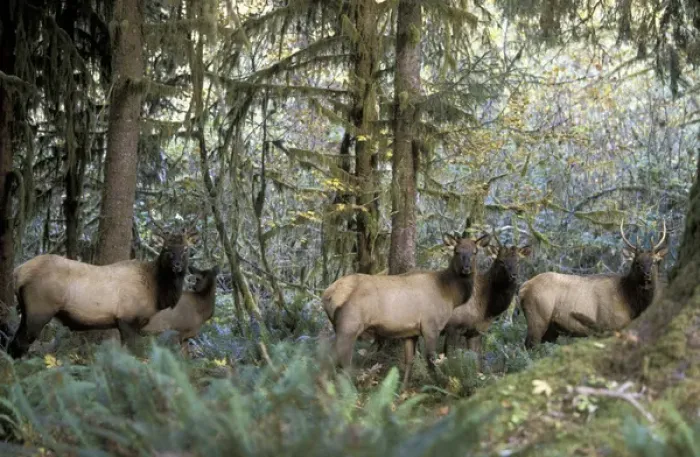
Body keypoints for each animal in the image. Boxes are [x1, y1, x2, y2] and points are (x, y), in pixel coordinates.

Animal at [5, 228, 193, 358]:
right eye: (166, 249)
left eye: (185, 249)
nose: (177, 265)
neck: (156, 292)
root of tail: (18, 272)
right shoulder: (127, 319)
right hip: (39, 309)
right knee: (19, 344)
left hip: (26, 311)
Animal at [322, 231, 492, 389]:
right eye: (457, 251)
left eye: (475, 252)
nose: (466, 268)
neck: (450, 294)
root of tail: (327, 295)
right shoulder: (431, 325)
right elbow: (432, 359)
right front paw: (438, 385)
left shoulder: (410, 332)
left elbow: (409, 361)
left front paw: (403, 389)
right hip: (349, 326)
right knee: (337, 361)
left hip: (339, 327)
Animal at [519, 219, 667, 347]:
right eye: (637, 263)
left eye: (654, 261)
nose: (647, 275)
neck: (631, 303)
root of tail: (523, 288)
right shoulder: (609, 326)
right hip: (537, 318)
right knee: (529, 346)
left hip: (552, 329)